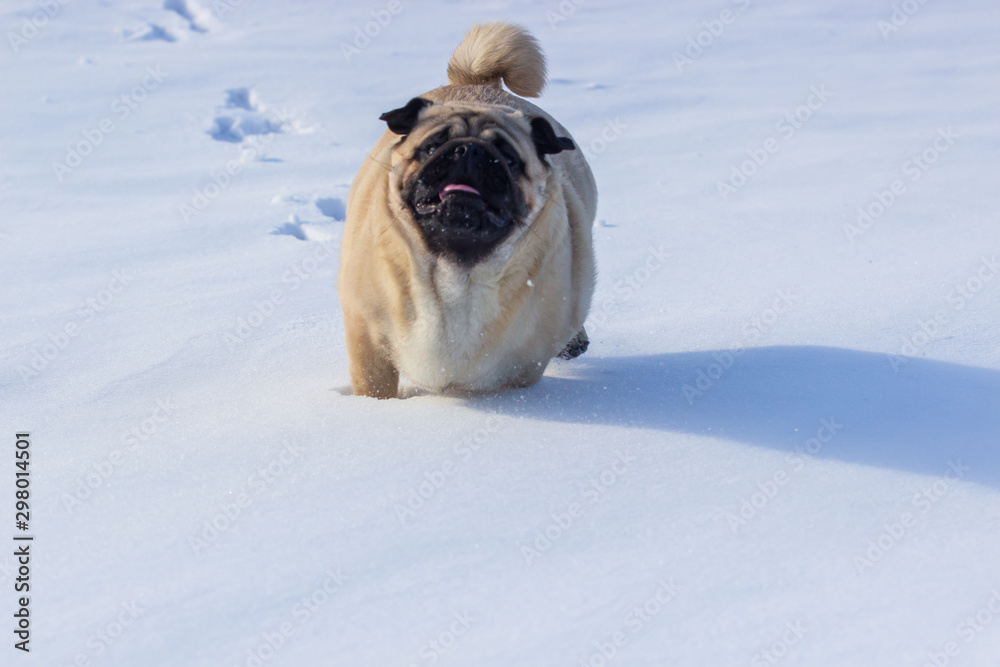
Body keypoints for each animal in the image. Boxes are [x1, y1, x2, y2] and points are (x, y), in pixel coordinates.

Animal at [340, 20, 596, 400]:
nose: (469, 151)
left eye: (509, 159)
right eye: (432, 146)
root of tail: (478, 83)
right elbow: (375, 388)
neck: (456, 276)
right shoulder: (367, 343)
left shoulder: (522, 367)